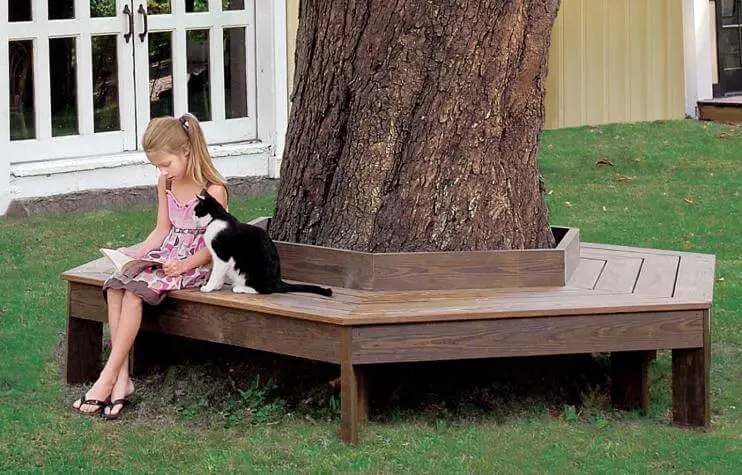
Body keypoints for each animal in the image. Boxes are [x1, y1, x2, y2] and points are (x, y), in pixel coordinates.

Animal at [193, 191, 332, 298]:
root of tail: (278, 281)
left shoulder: (222, 257)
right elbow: (219, 274)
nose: (192, 217)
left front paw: (208, 287)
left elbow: (216, 273)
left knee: (265, 290)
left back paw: (240, 288)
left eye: (195, 210)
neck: (216, 218)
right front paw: (217, 286)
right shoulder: (218, 258)